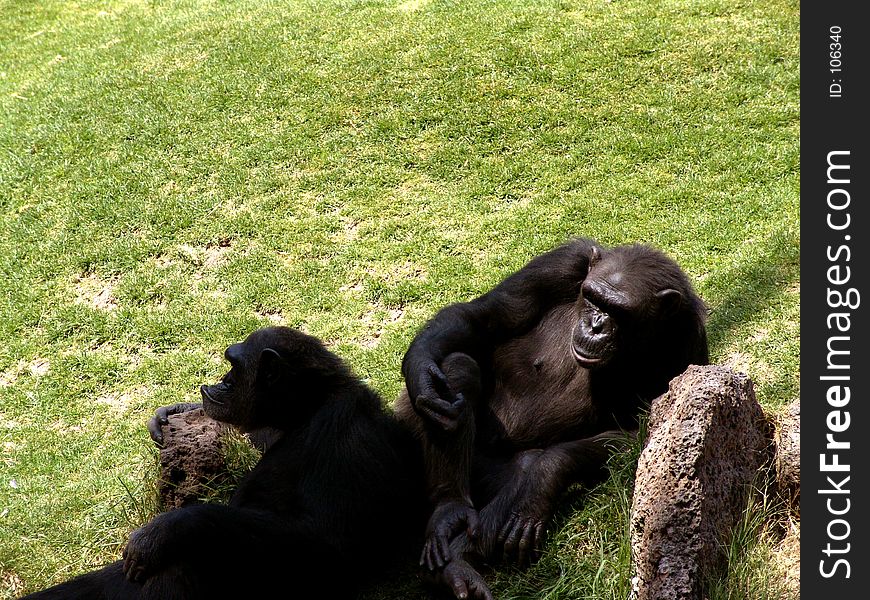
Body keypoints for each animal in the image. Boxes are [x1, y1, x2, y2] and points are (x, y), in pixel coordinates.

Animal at [22, 328, 424, 600]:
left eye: (234, 367)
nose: (222, 381)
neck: (304, 412)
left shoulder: (342, 436)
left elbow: (326, 542)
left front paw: (168, 528)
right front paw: (175, 412)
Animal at [396, 239, 708, 600]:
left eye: (619, 312)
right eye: (592, 298)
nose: (595, 326)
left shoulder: (686, 343)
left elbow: (639, 433)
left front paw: (547, 476)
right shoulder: (561, 263)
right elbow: (484, 317)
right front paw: (422, 374)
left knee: (525, 465)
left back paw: (457, 563)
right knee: (458, 365)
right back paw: (450, 511)